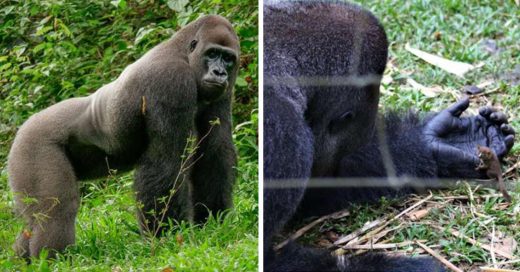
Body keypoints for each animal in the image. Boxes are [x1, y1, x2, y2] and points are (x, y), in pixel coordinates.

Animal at [8, 14, 240, 260]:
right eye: (212, 54)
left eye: (228, 58)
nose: (219, 73)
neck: (184, 52)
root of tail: (24, 126)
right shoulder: (172, 81)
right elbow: (167, 162)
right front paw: (168, 236)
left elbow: (215, 151)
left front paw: (213, 220)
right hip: (33, 143)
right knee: (56, 211)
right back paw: (55, 259)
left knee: (33, 221)